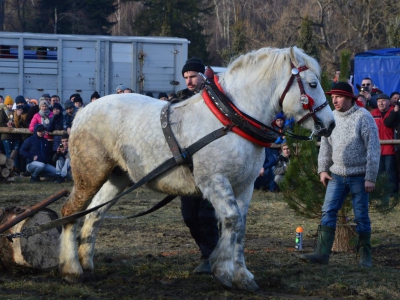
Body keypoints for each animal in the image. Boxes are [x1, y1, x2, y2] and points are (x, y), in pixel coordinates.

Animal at [58, 47, 334, 290]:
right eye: (312, 84)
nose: (330, 124)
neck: (230, 120)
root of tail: (82, 112)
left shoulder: (244, 185)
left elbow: (240, 227)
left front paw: (241, 275)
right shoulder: (214, 181)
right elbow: (232, 220)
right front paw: (223, 271)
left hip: (118, 178)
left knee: (94, 215)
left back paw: (87, 265)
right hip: (89, 175)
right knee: (70, 212)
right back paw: (72, 270)